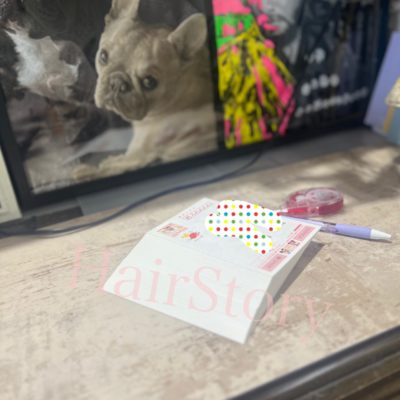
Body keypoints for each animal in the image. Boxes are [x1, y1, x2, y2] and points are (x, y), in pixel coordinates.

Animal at [74, 0, 217, 179]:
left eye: (149, 82)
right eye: (103, 56)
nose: (116, 83)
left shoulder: (138, 152)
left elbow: (109, 168)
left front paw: (88, 170)